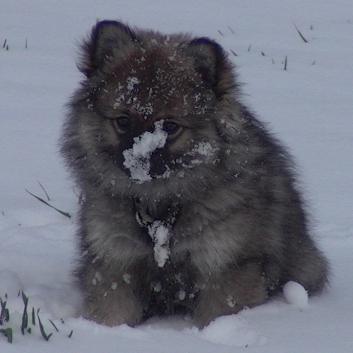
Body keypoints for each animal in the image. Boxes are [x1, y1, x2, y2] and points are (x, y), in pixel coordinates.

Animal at [59, 20, 328, 326]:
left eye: (171, 126)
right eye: (123, 121)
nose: (138, 161)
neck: (160, 209)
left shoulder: (224, 266)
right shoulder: (114, 263)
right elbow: (111, 313)